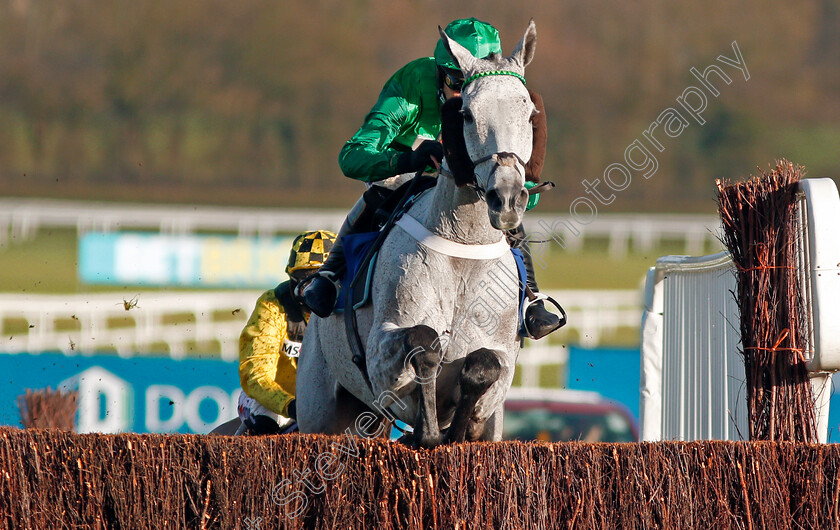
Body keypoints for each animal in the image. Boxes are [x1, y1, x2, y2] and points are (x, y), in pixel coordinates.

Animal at [296, 19, 540, 446]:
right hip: (320, 408)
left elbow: (485, 364)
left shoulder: (503, 361)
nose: (507, 197)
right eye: (467, 115)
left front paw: (456, 429)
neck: (463, 245)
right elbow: (424, 342)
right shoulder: (381, 351)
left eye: (528, 114)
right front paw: (427, 431)